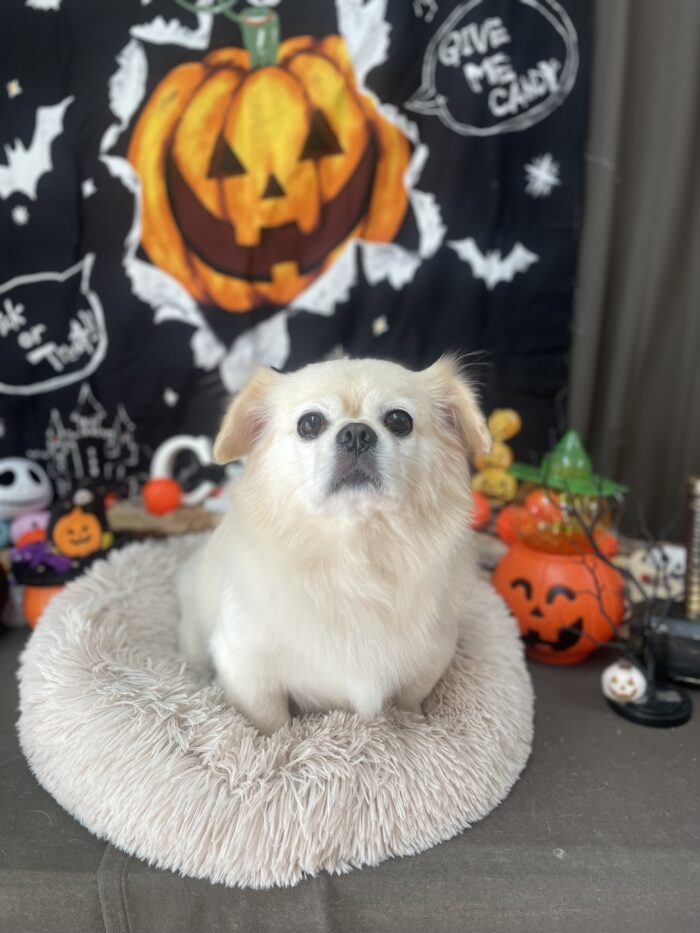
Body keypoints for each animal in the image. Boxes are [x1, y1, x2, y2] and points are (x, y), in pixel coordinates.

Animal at [178, 356, 490, 735]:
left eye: (399, 421)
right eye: (309, 423)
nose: (356, 432)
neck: (354, 555)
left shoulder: (432, 656)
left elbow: (408, 700)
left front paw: (411, 724)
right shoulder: (245, 668)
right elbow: (270, 721)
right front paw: (273, 742)